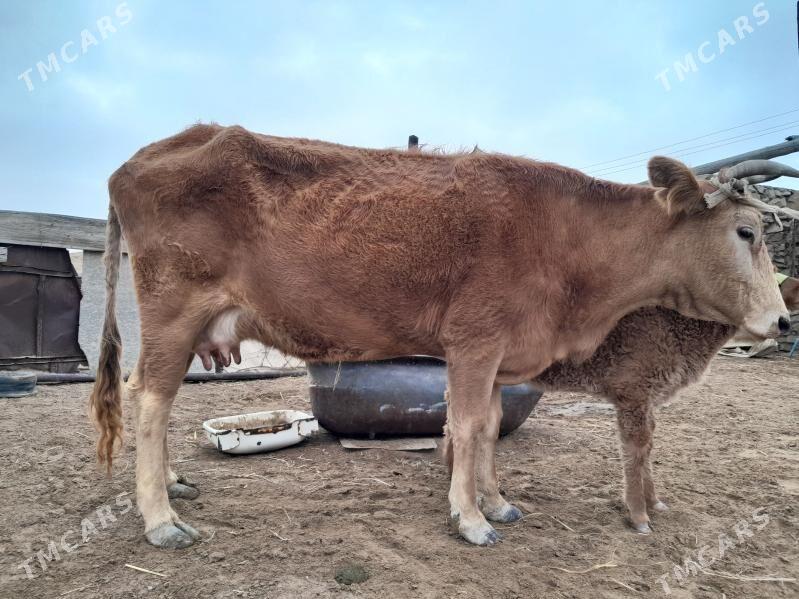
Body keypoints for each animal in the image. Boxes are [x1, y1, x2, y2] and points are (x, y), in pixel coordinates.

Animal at [445, 274, 799, 535]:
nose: (784, 322)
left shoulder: (649, 397)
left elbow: (648, 446)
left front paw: (654, 502)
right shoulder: (633, 391)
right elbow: (635, 449)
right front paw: (639, 515)